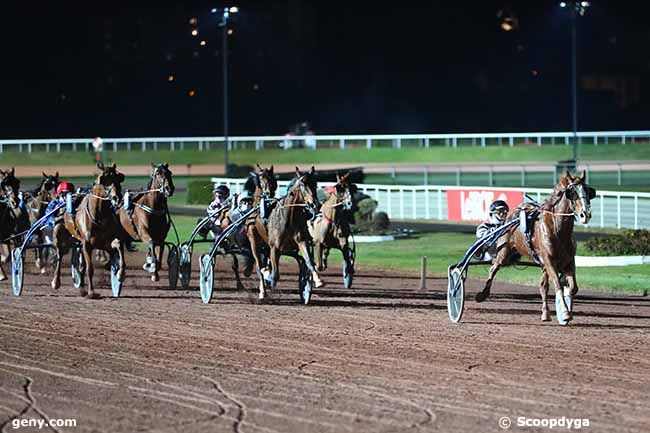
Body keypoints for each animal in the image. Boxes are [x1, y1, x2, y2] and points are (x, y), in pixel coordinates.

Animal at [56, 162, 126, 296]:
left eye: (118, 178)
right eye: (105, 180)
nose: (116, 198)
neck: (98, 214)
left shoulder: (106, 242)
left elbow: (118, 245)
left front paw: (120, 274)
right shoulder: (87, 243)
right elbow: (90, 269)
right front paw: (92, 292)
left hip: (79, 242)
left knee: (81, 265)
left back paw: (82, 288)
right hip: (61, 232)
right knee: (60, 254)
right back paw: (56, 281)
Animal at [246, 166, 322, 300]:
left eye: (315, 183)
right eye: (302, 184)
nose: (314, 204)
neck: (289, 217)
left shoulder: (302, 241)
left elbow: (309, 262)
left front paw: (317, 280)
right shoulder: (275, 248)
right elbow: (275, 275)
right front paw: (268, 276)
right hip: (254, 241)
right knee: (258, 265)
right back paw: (262, 290)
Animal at [474, 170, 596, 322]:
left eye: (588, 191)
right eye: (572, 192)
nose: (585, 214)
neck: (558, 229)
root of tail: (511, 214)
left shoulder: (568, 261)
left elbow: (572, 288)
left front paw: (565, 310)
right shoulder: (549, 260)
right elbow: (558, 284)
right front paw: (565, 313)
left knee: (543, 286)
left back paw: (545, 313)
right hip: (504, 252)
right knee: (493, 268)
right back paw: (482, 294)